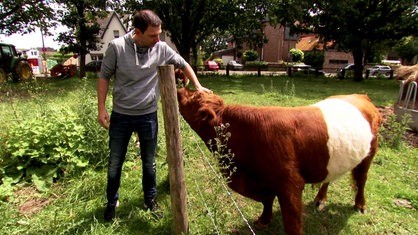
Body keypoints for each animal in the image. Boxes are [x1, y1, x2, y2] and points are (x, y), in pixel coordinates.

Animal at [176, 87, 382, 235]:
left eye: (193, 98)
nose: (179, 89)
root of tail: (361, 95)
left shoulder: (290, 184)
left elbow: (292, 222)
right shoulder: (264, 181)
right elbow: (267, 200)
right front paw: (264, 220)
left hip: (370, 153)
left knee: (362, 179)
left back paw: (360, 205)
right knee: (328, 178)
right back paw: (320, 199)